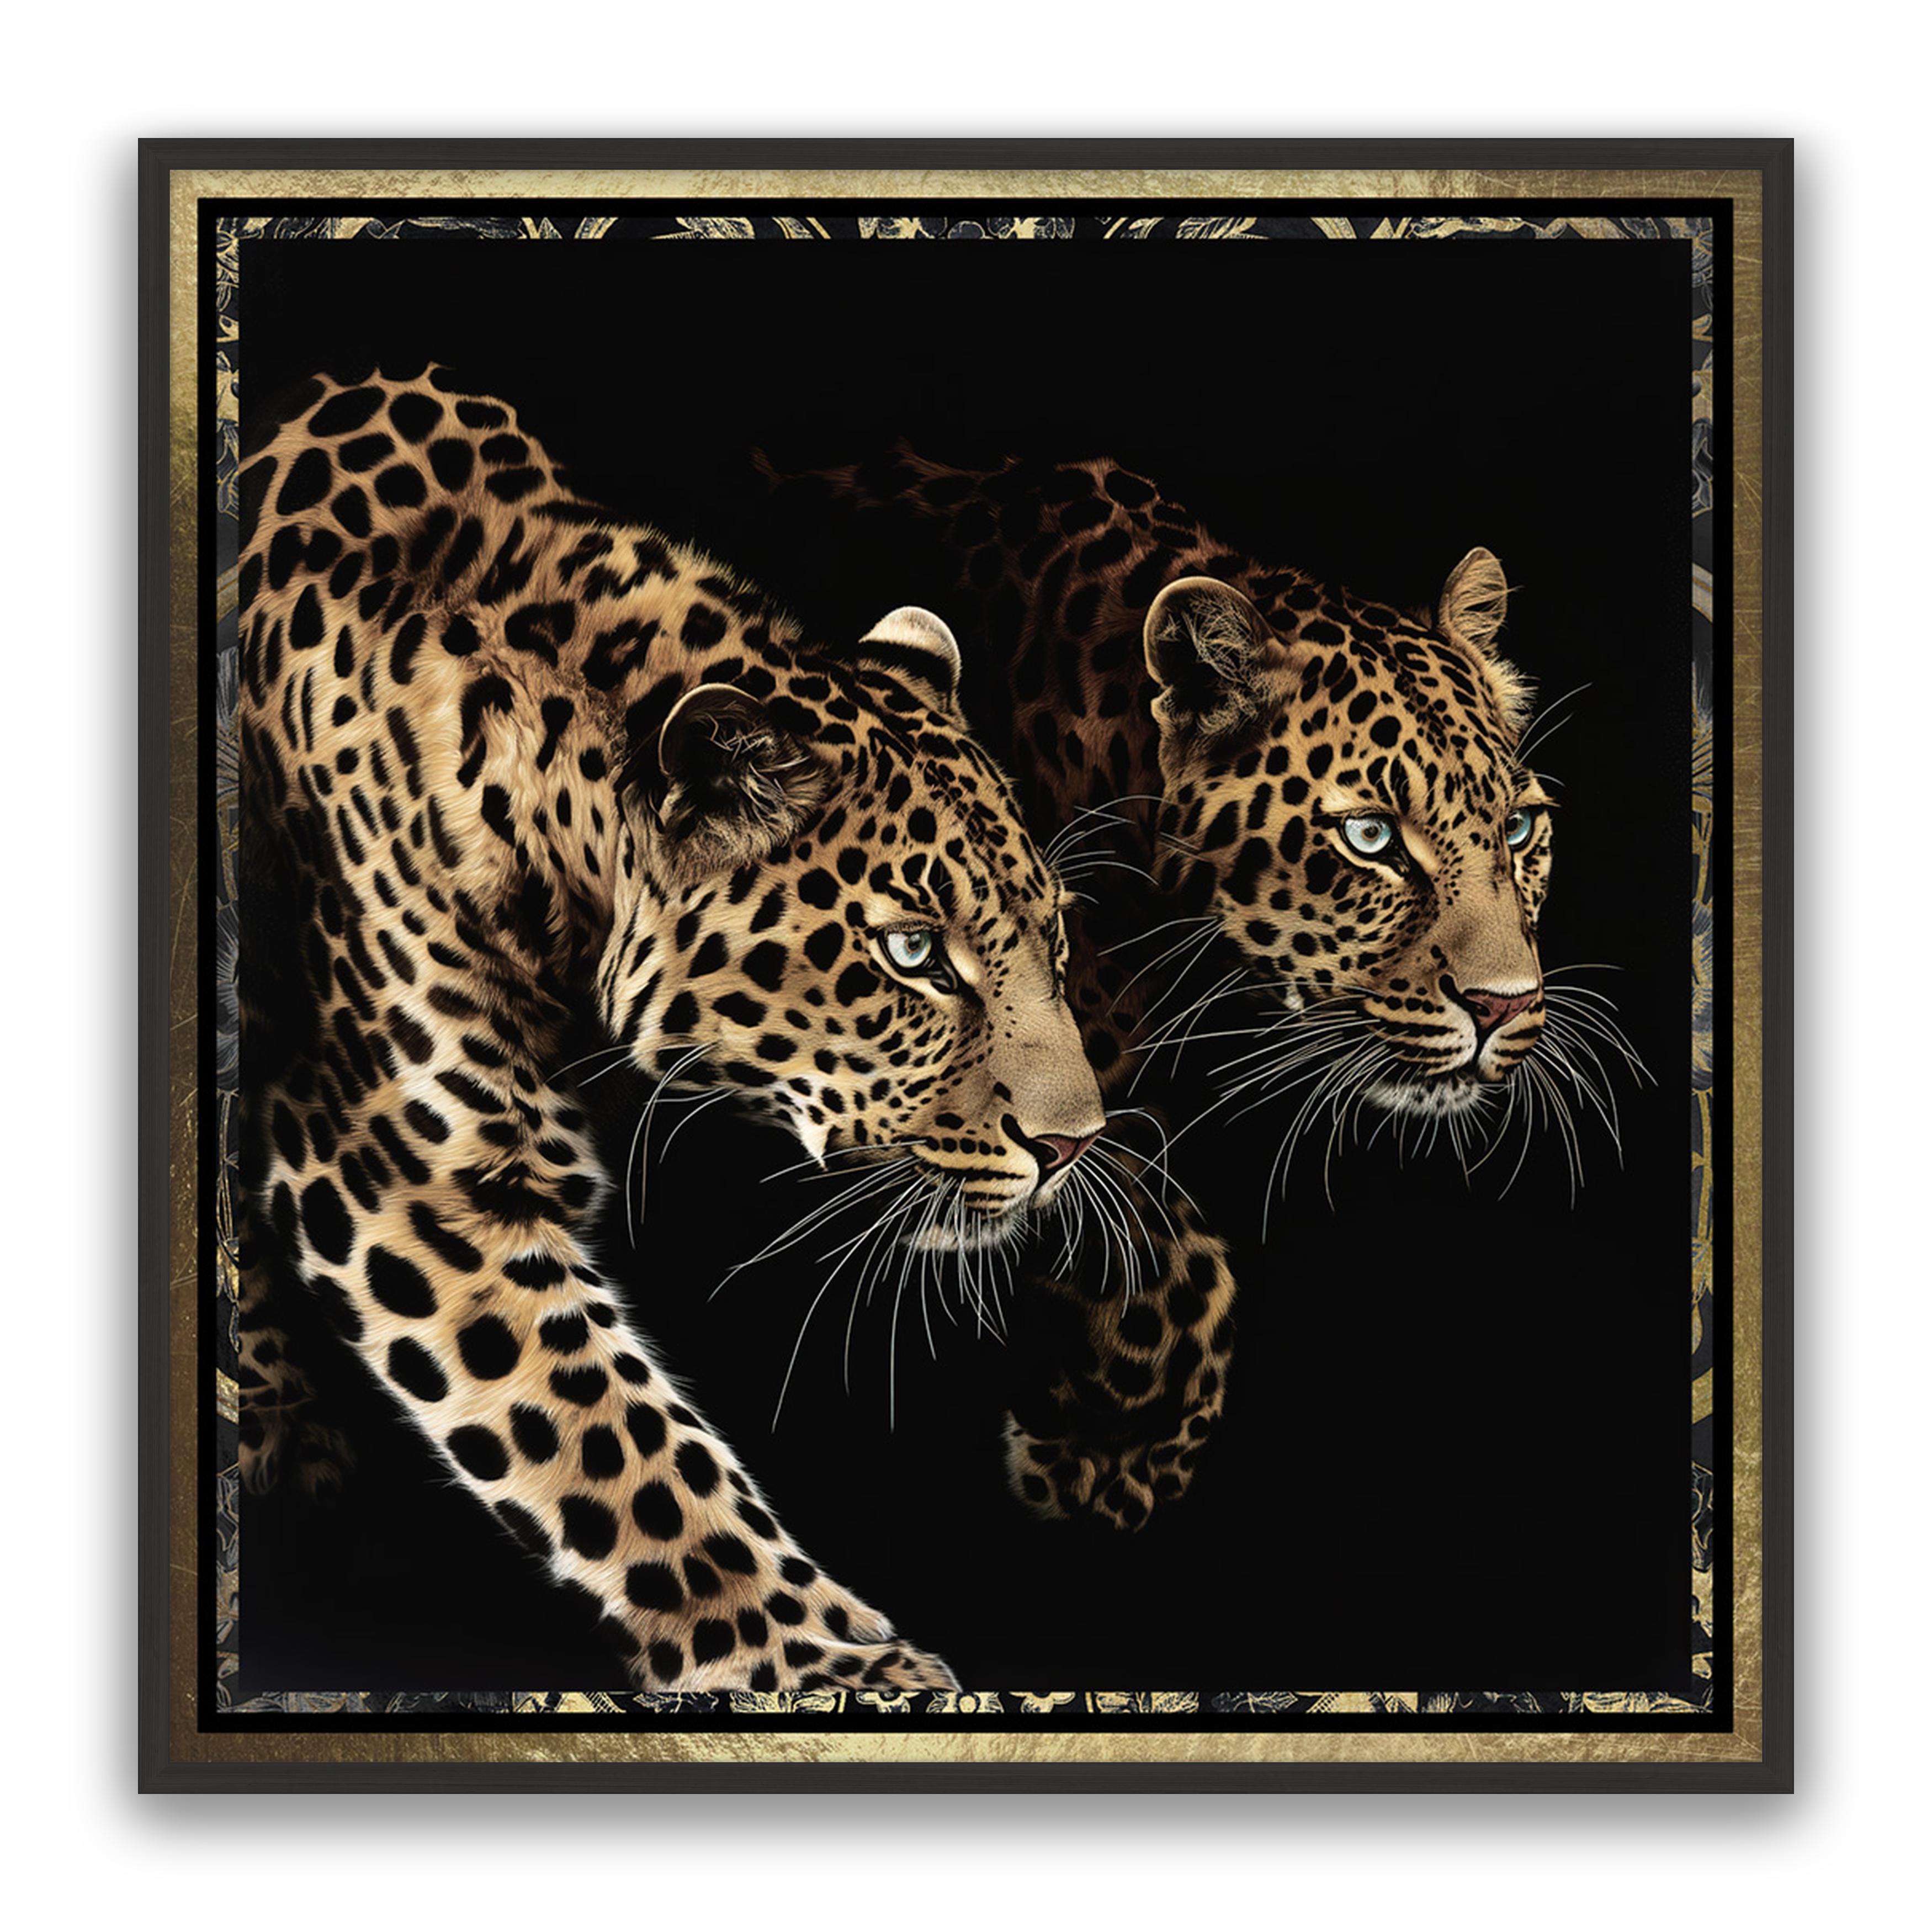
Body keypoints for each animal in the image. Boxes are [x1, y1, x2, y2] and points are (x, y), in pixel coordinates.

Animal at [231, 369, 1113, 1693]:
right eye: (912, 953)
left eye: (1051, 933)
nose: (1076, 1146)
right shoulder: (400, 1170)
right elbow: (623, 1451)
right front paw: (832, 1665)